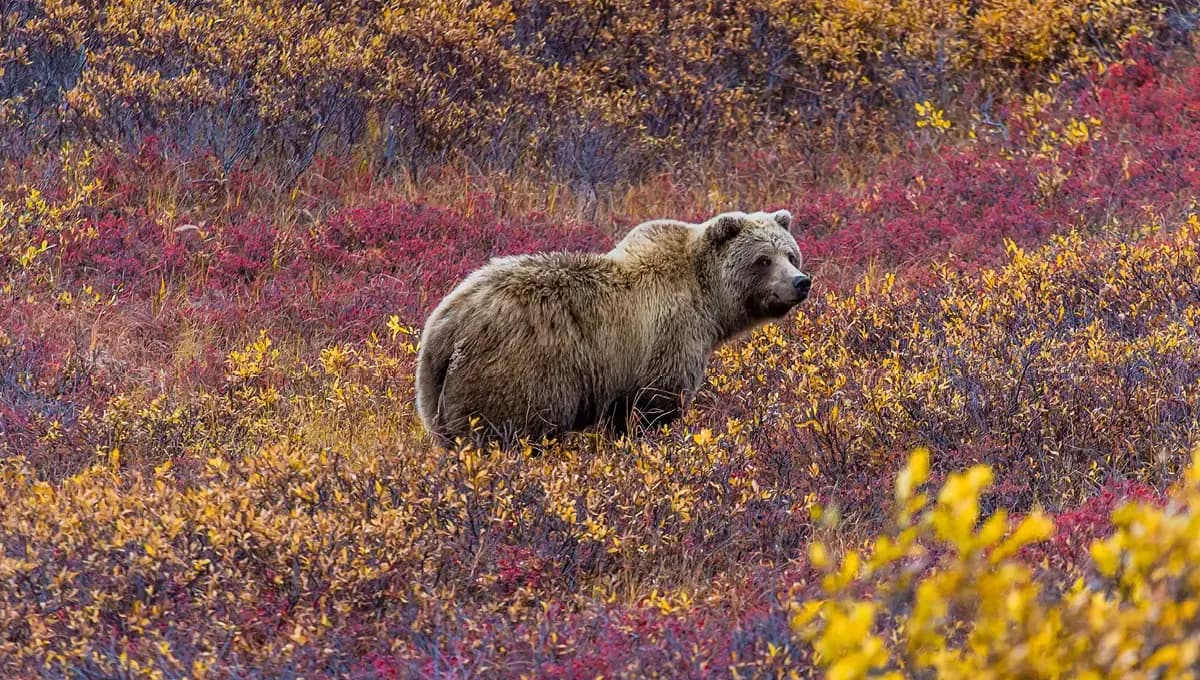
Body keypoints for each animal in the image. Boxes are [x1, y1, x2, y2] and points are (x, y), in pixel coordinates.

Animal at [414, 209, 812, 447]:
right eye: (763, 260)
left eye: (791, 254)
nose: (800, 281)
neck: (708, 299)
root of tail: (445, 326)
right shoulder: (669, 337)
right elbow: (654, 405)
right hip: (515, 375)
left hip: (435, 396)